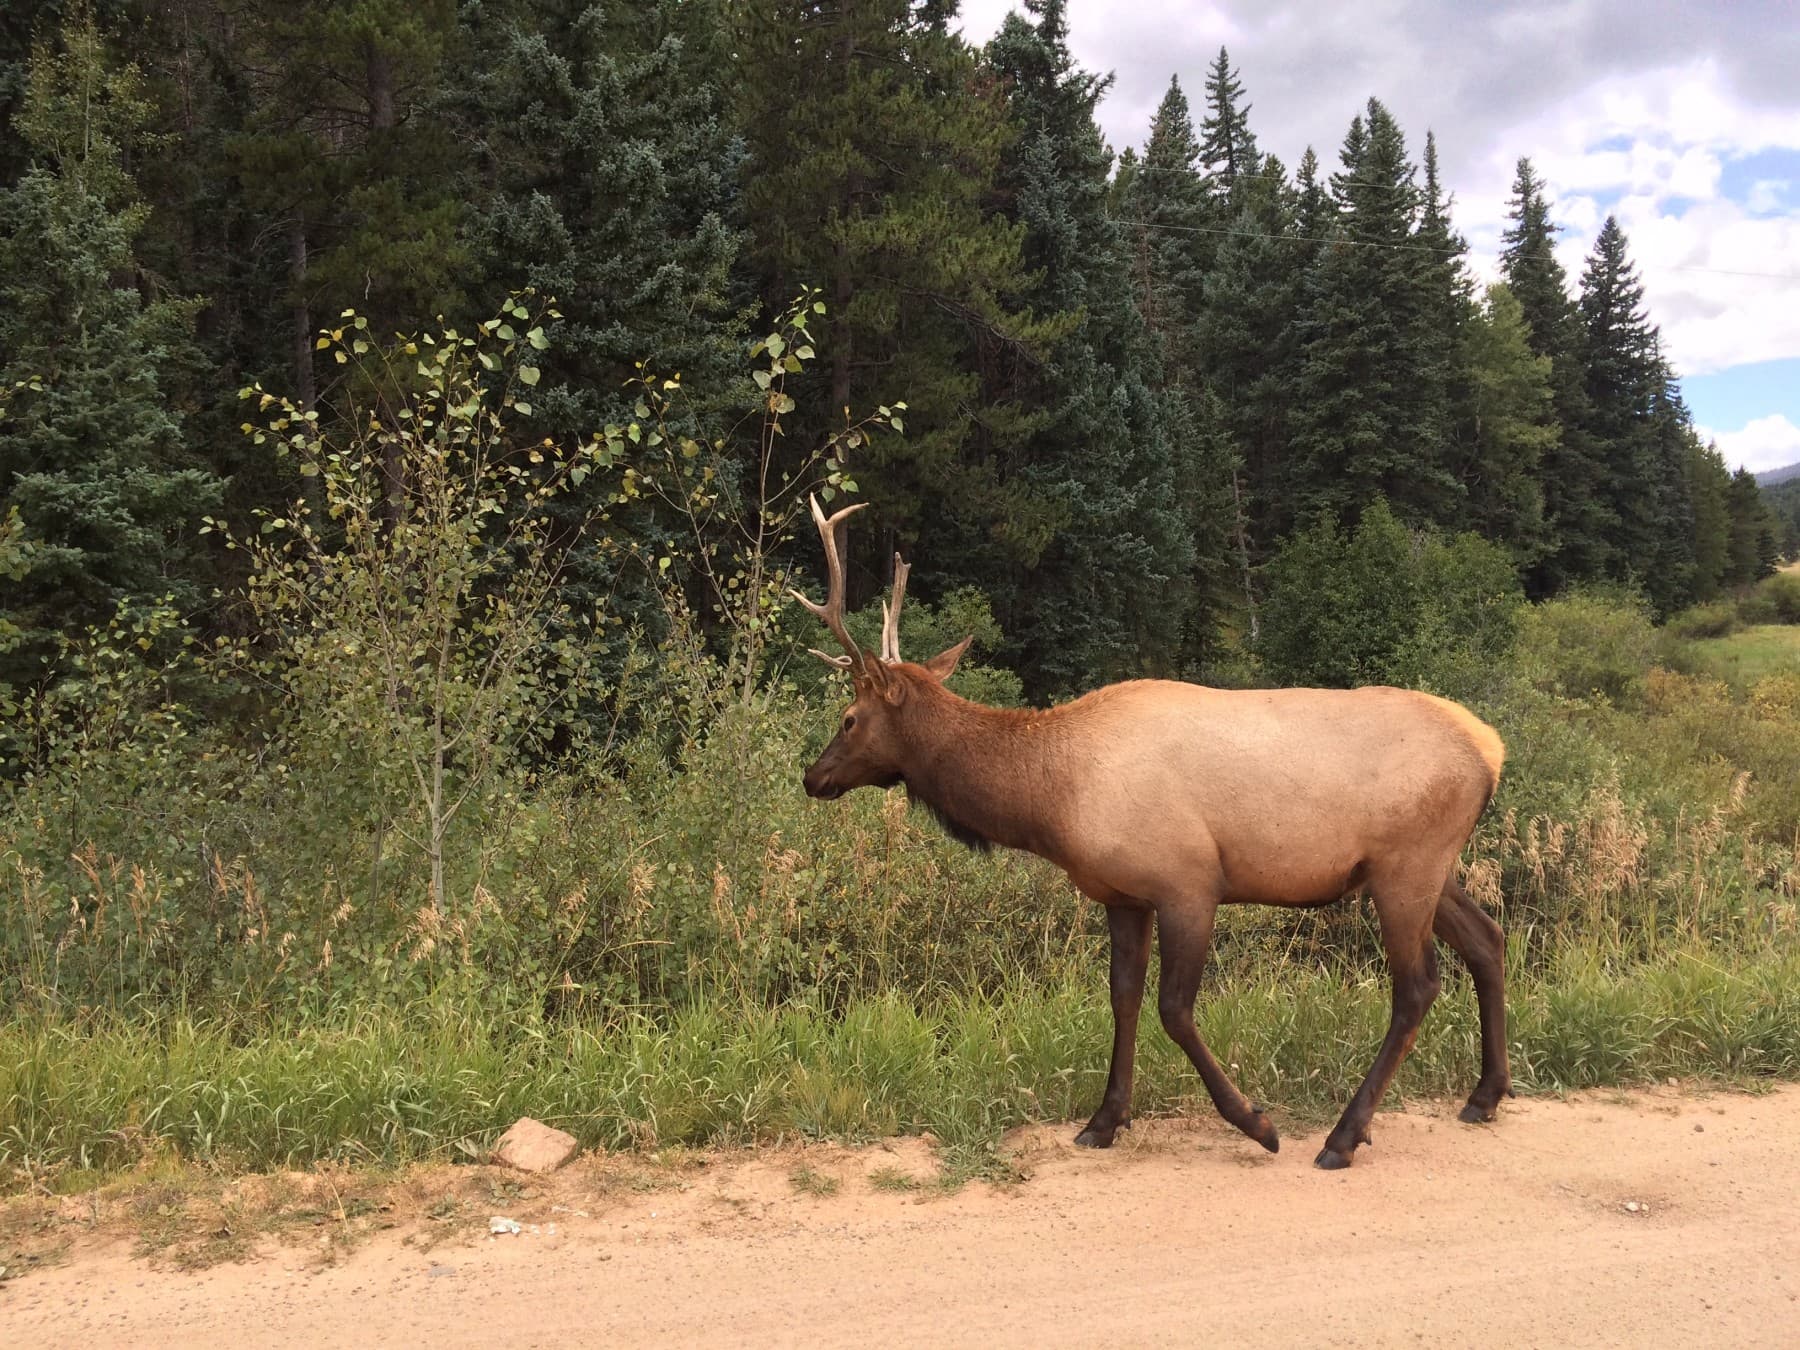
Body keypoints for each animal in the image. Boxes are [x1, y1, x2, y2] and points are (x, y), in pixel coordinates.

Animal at [792, 496, 1512, 1169]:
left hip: (1406, 867)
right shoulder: (1123, 895)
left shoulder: (1189, 883)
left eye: (850, 717)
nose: (812, 776)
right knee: (1487, 939)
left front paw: (1256, 1123)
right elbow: (1124, 997)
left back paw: (1343, 1135)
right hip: (1425, 869)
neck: (1052, 800)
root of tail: (1492, 749)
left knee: (1417, 987)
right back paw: (1484, 1095)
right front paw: (1104, 1120)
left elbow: (1174, 1008)